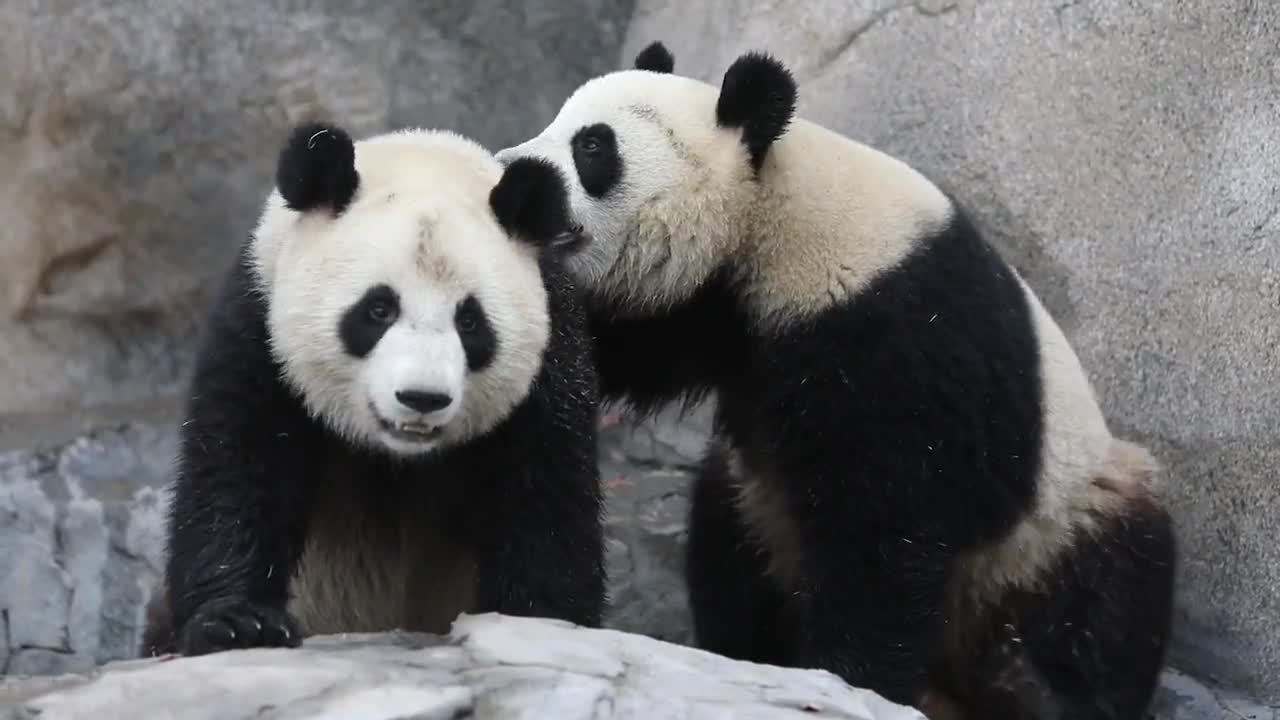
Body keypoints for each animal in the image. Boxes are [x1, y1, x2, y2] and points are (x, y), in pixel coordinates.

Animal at [140, 121, 606, 657]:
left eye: (470, 322)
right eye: (378, 309)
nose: (422, 398)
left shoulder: (552, 358)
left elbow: (546, 503)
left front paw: (535, 624)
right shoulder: (260, 328)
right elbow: (236, 468)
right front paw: (238, 622)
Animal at [495, 42, 1177, 720]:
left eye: (592, 146)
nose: (510, 173)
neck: (774, 217)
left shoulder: (895, 328)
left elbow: (887, 527)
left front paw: (853, 679)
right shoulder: (711, 314)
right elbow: (629, 349)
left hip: (1054, 516)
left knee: (1108, 595)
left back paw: (1040, 686)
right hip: (762, 506)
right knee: (729, 539)